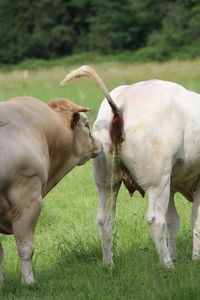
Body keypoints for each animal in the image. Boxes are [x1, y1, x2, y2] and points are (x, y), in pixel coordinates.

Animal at [61, 65, 200, 268]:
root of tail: (120, 105)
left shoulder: (173, 185)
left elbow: (174, 220)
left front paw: (176, 253)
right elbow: (195, 220)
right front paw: (194, 258)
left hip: (107, 181)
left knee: (104, 219)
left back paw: (109, 264)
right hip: (156, 182)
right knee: (155, 220)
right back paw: (167, 265)